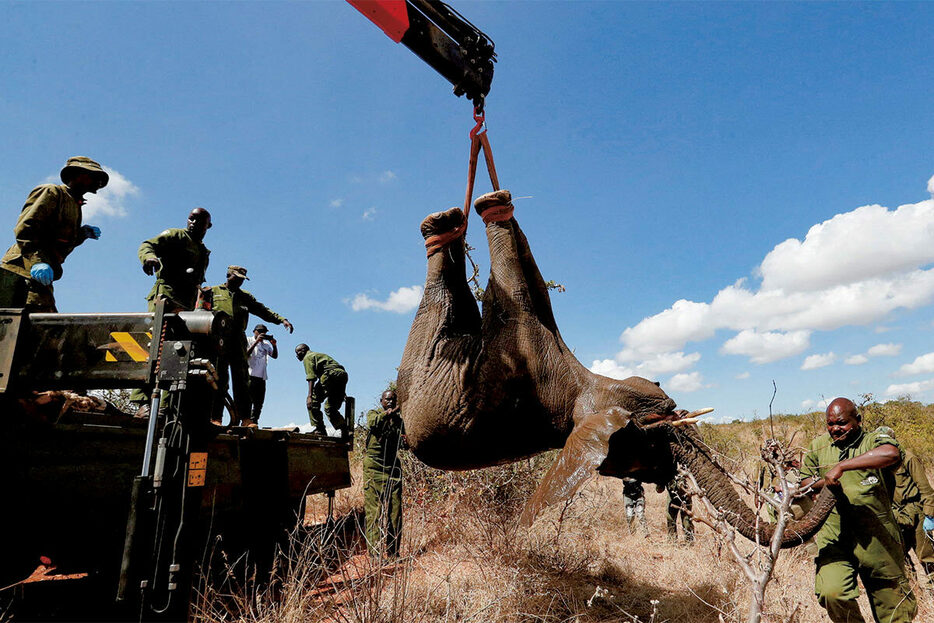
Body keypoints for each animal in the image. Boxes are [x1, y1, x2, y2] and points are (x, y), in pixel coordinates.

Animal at [398, 190, 836, 544]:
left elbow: (532, 279)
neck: (585, 385)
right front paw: (495, 206)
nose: (831, 477)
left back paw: (444, 225)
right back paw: (446, 223)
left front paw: (498, 204)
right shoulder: (523, 343)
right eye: (658, 431)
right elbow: (517, 284)